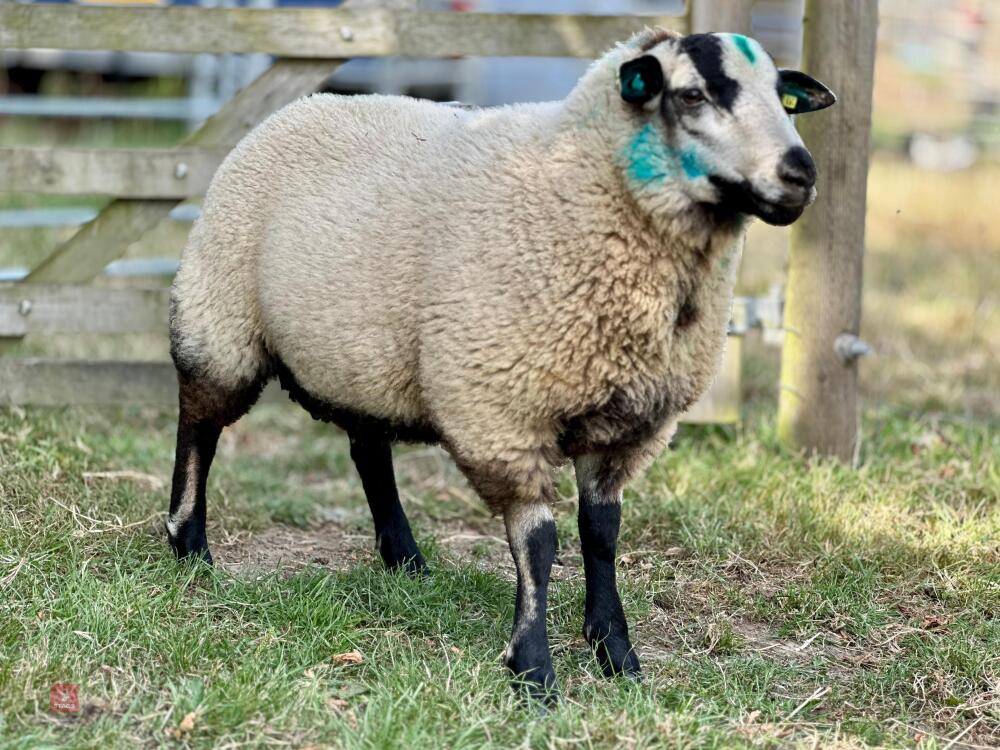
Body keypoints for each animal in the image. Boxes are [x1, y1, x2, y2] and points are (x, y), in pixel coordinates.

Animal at [166, 27, 835, 700]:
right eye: (692, 95)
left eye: (783, 98)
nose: (800, 174)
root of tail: (305, 104)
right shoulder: (503, 413)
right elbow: (539, 543)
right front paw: (534, 672)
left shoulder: (628, 425)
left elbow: (602, 532)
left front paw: (616, 653)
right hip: (220, 315)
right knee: (199, 425)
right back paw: (188, 545)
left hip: (363, 355)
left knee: (368, 451)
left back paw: (405, 559)